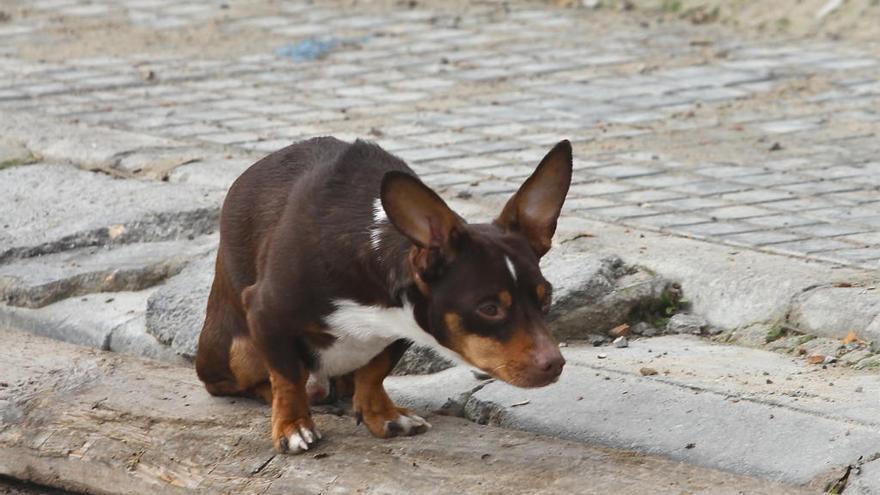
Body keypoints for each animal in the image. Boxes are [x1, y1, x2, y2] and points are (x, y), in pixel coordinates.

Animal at [196, 138, 576, 456]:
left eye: (546, 299)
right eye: (489, 308)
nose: (555, 363)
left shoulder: (401, 327)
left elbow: (375, 371)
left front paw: (383, 414)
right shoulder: (265, 314)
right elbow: (287, 377)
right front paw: (292, 425)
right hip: (239, 351)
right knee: (234, 382)